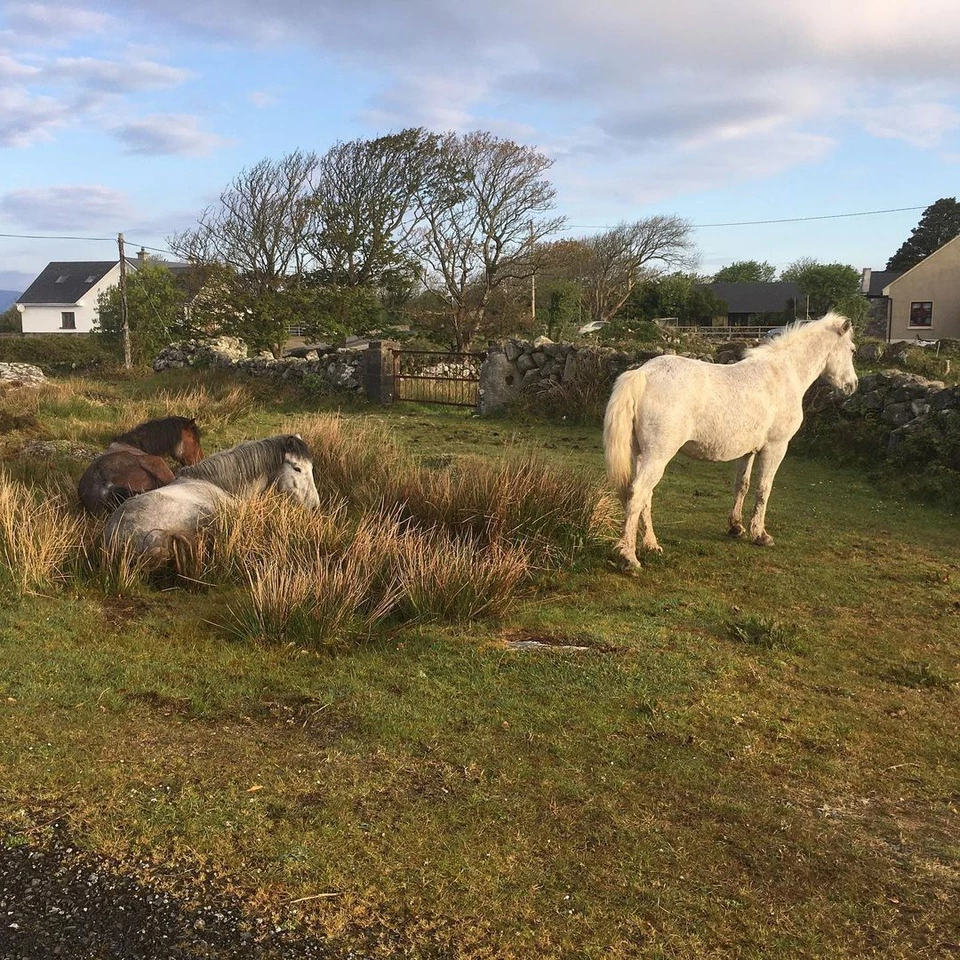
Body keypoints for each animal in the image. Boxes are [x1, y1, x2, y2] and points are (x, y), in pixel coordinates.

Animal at [604, 314, 860, 568]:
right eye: (852, 349)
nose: (853, 385)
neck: (783, 374)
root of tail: (643, 374)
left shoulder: (747, 451)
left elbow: (742, 486)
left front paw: (736, 527)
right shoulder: (775, 448)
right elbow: (763, 488)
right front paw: (760, 535)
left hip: (641, 454)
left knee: (645, 497)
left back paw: (651, 545)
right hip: (657, 456)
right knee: (638, 493)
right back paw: (629, 557)